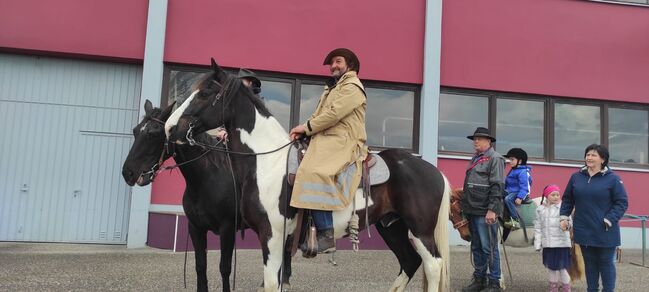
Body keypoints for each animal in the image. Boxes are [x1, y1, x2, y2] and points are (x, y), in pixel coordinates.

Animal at [121, 99, 292, 290]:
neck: (207, 179)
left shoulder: (227, 229)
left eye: (153, 133)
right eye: (136, 130)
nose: (128, 173)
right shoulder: (196, 228)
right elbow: (200, 266)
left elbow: (224, 267)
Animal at [166, 58, 450, 290]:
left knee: (433, 265)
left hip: (420, 231)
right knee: (409, 262)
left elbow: (271, 282)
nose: (170, 127)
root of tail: (434, 172)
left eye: (205, 93)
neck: (267, 162)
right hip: (391, 226)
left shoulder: (271, 234)